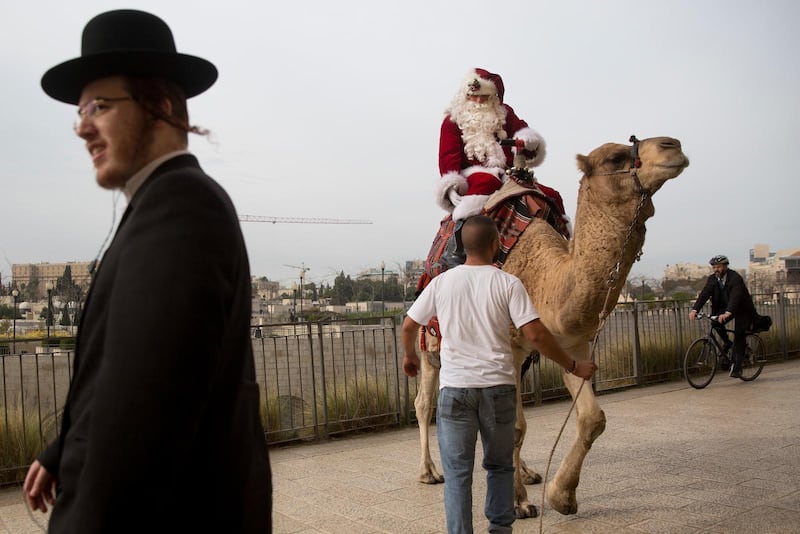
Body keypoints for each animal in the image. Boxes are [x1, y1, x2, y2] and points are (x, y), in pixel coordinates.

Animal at [412, 137, 688, 520]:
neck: (545, 276)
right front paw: (518, 503)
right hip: (430, 343)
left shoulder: (570, 344)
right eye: (614, 158)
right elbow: (513, 426)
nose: (672, 145)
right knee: (425, 403)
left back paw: (527, 472)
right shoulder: (510, 345)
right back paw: (429, 472)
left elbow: (592, 418)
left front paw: (562, 496)